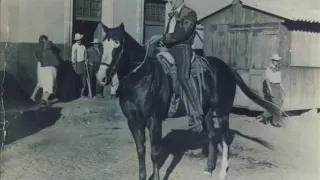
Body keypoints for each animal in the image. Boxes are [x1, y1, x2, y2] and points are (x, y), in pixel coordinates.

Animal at [96, 22, 278, 180]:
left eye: (117, 45)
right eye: (102, 46)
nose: (100, 77)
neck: (140, 78)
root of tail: (227, 68)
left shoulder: (154, 121)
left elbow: (154, 153)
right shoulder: (133, 122)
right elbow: (140, 151)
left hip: (222, 111)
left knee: (225, 139)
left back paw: (222, 172)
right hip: (206, 112)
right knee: (212, 136)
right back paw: (208, 169)